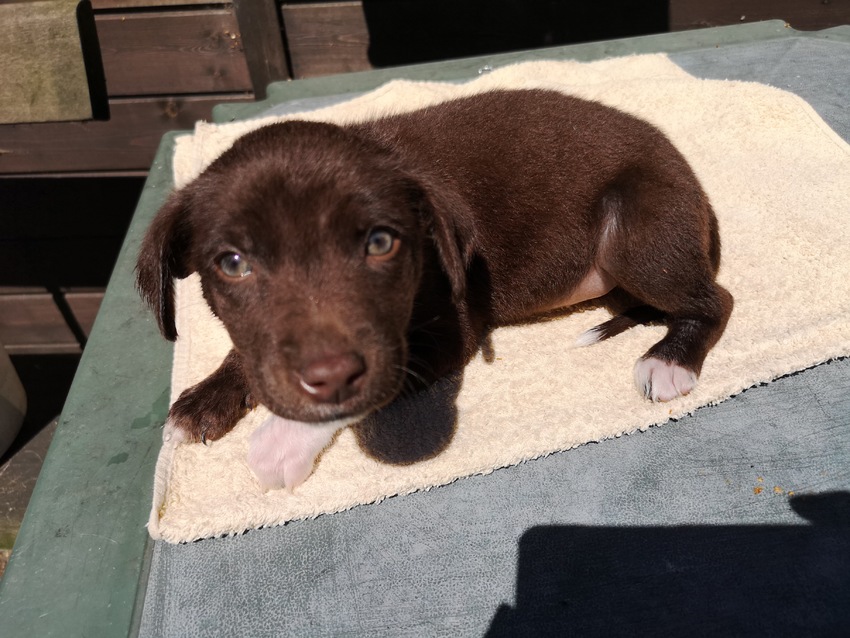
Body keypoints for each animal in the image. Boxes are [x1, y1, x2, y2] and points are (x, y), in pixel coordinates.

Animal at [137, 89, 733, 490]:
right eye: (233, 264)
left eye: (381, 243)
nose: (327, 372)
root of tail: (698, 189)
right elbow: (252, 350)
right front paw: (209, 397)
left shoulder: (452, 324)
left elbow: (372, 388)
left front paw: (281, 440)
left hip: (638, 230)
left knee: (714, 299)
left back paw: (669, 360)